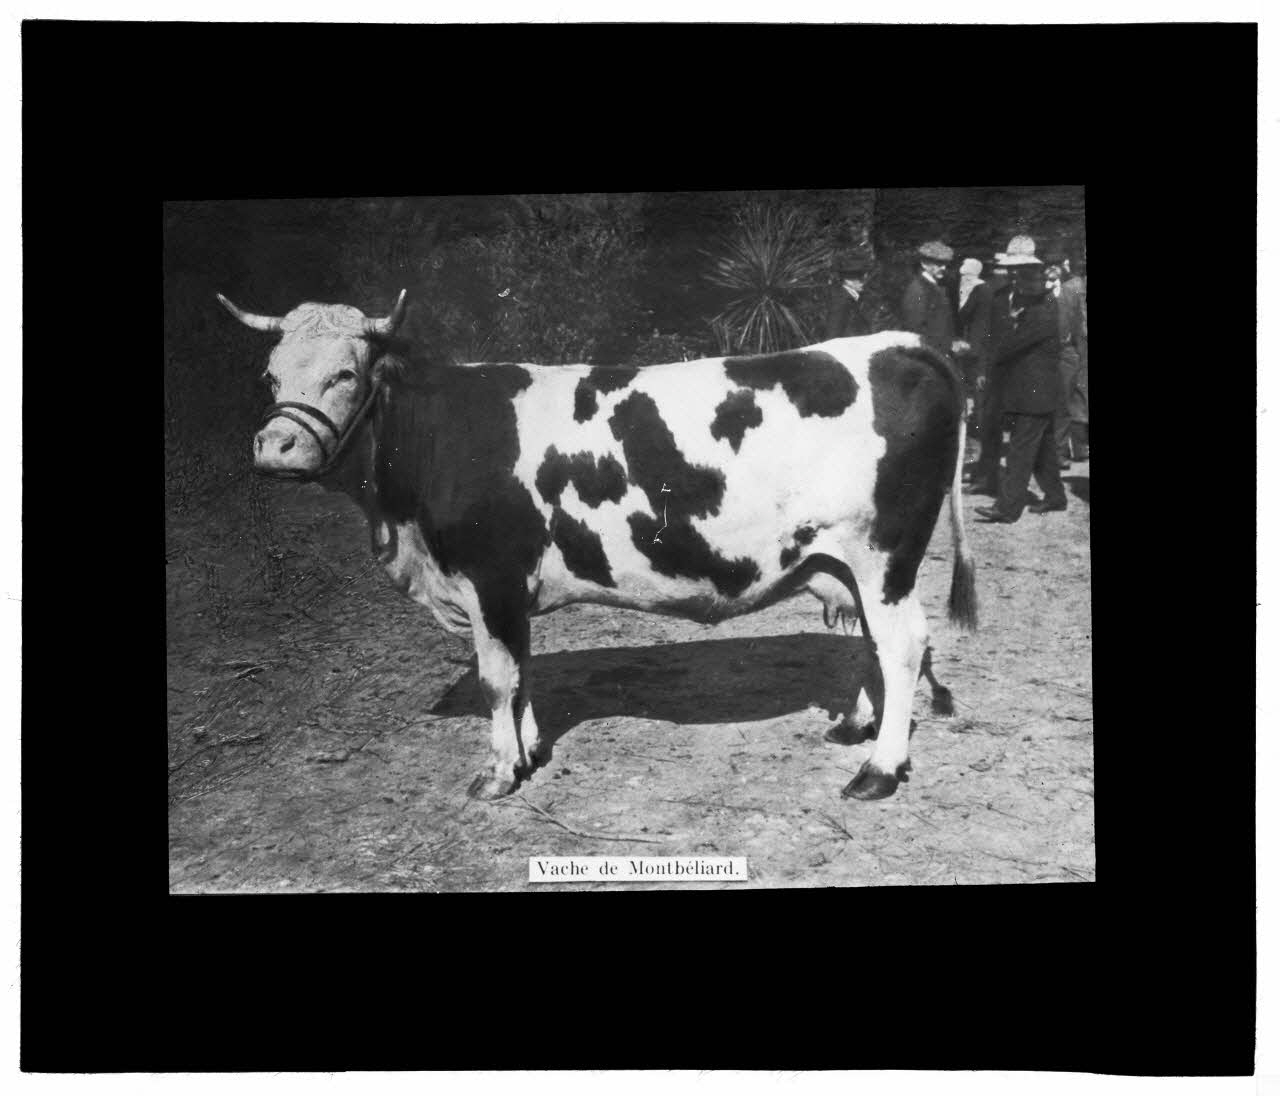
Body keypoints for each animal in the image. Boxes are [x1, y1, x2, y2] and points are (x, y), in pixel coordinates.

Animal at [217, 289, 977, 802]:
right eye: (270, 376)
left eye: (345, 375)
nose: (275, 448)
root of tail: (904, 344)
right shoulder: (507, 592)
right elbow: (521, 672)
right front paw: (527, 754)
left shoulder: (489, 577)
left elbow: (497, 678)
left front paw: (498, 773)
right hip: (847, 563)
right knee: (875, 643)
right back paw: (856, 726)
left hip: (885, 557)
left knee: (904, 644)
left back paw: (878, 770)